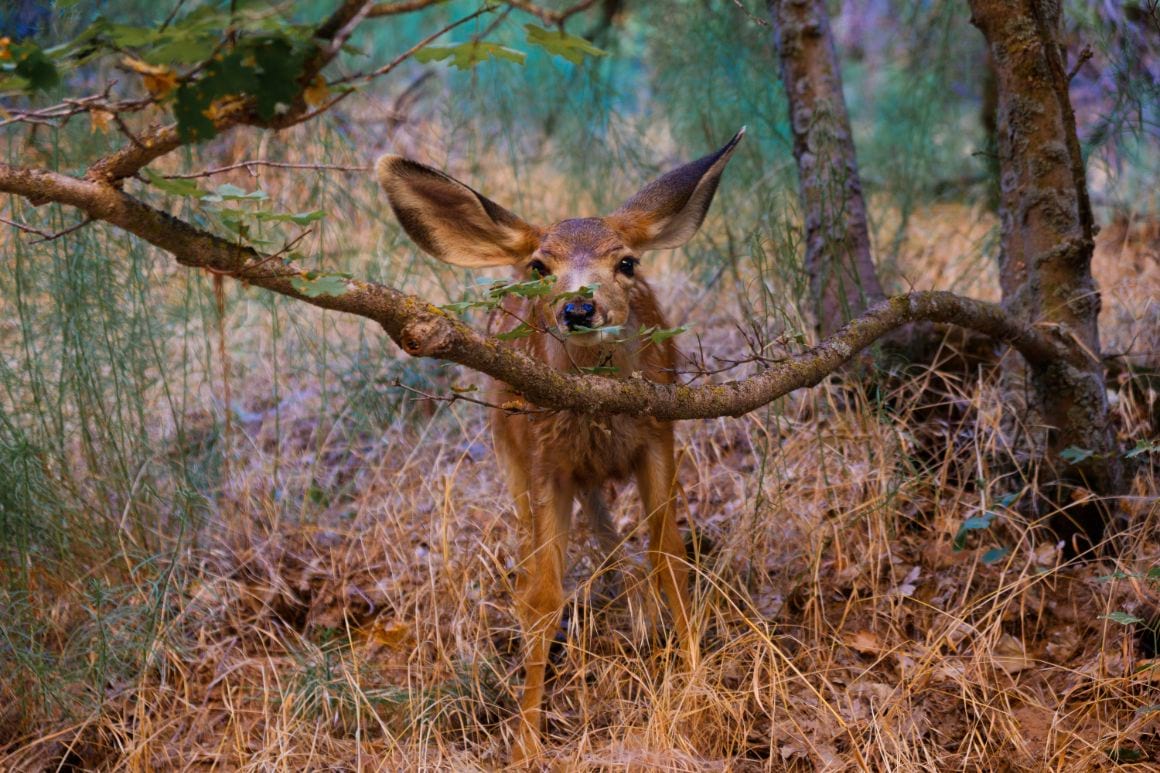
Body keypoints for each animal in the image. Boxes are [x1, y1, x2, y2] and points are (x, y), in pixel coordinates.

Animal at [375, 126, 747, 756]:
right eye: (540, 265)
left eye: (627, 261)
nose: (579, 306)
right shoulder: (545, 461)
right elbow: (543, 595)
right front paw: (526, 742)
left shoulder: (659, 436)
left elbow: (671, 560)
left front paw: (695, 681)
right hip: (511, 452)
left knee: (608, 527)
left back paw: (641, 614)